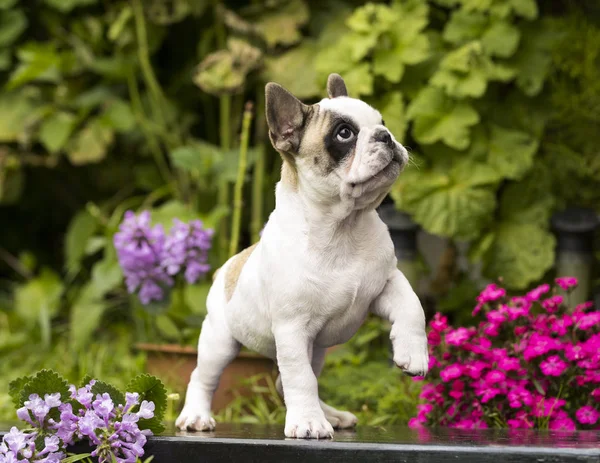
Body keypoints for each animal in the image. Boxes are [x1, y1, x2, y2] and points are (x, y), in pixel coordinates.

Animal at [176, 74, 428, 440]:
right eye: (344, 134)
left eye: (382, 122)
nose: (386, 135)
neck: (342, 227)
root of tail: (230, 265)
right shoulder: (292, 329)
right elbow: (300, 377)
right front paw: (308, 422)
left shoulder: (387, 282)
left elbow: (412, 307)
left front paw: (413, 353)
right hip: (220, 340)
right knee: (205, 377)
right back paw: (196, 416)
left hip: (318, 349)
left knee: (291, 382)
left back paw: (332, 415)